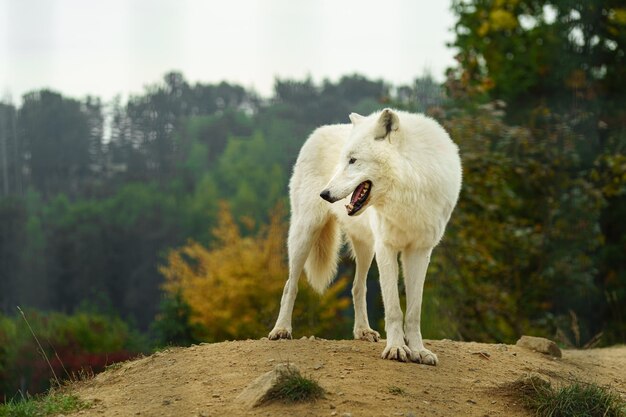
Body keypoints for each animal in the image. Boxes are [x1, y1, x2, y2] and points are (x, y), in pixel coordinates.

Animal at [266, 108, 460, 364]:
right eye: (344, 160)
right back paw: (281, 329)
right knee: (291, 284)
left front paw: (419, 350)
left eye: (353, 160)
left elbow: (413, 311)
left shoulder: (420, 251)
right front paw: (397, 348)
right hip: (304, 233)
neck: (412, 183)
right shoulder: (387, 247)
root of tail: (318, 131)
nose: (324, 194)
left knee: (358, 287)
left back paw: (363, 331)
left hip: (367, 249)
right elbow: (394, 309)